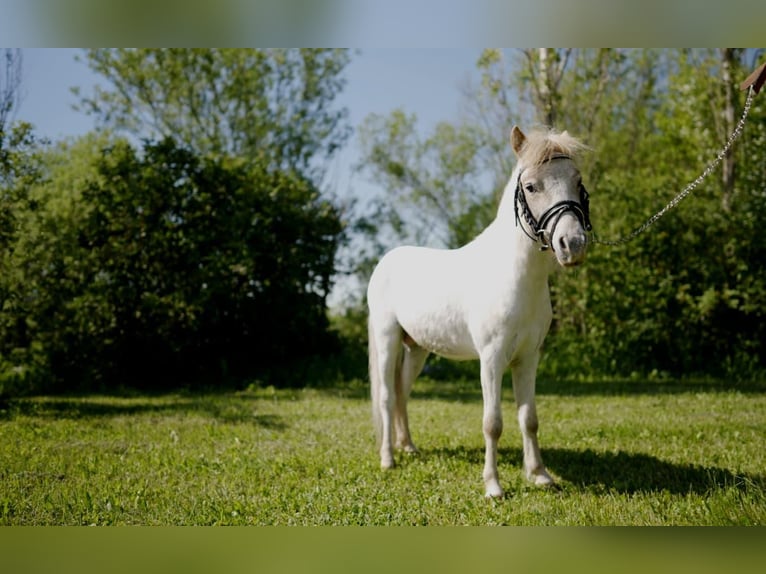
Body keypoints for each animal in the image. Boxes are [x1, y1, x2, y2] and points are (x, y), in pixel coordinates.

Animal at [367, 126, 591, 498]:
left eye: (578, 181)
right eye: (531, 187)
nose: (572, 245)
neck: (515, 276)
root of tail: (386, 261)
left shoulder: (528, 358)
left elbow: (529, 418)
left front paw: (540, 475)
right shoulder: (491, 358)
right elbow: (493, 423)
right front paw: (494, 486)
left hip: (417, 350)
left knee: (402, 393)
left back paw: (408, 447)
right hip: (387, 339)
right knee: (385, 396)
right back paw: (388, 459)